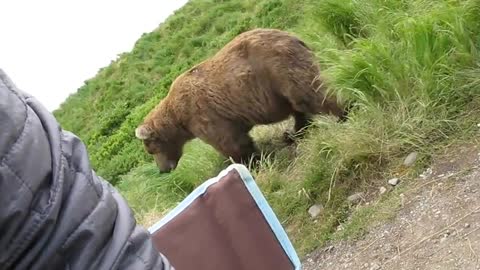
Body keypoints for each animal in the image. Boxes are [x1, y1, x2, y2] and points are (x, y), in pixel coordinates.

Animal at [135, 28, 348, 172]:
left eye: (151, 150)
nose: (163, 169)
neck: (178, 119)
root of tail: (291, 36)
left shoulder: (203, 114)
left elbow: (230, 143)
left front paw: (250, 163)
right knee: (297, 106)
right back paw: (293, 133)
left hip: (277, 67)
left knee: (308, 93)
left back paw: (343, 114)